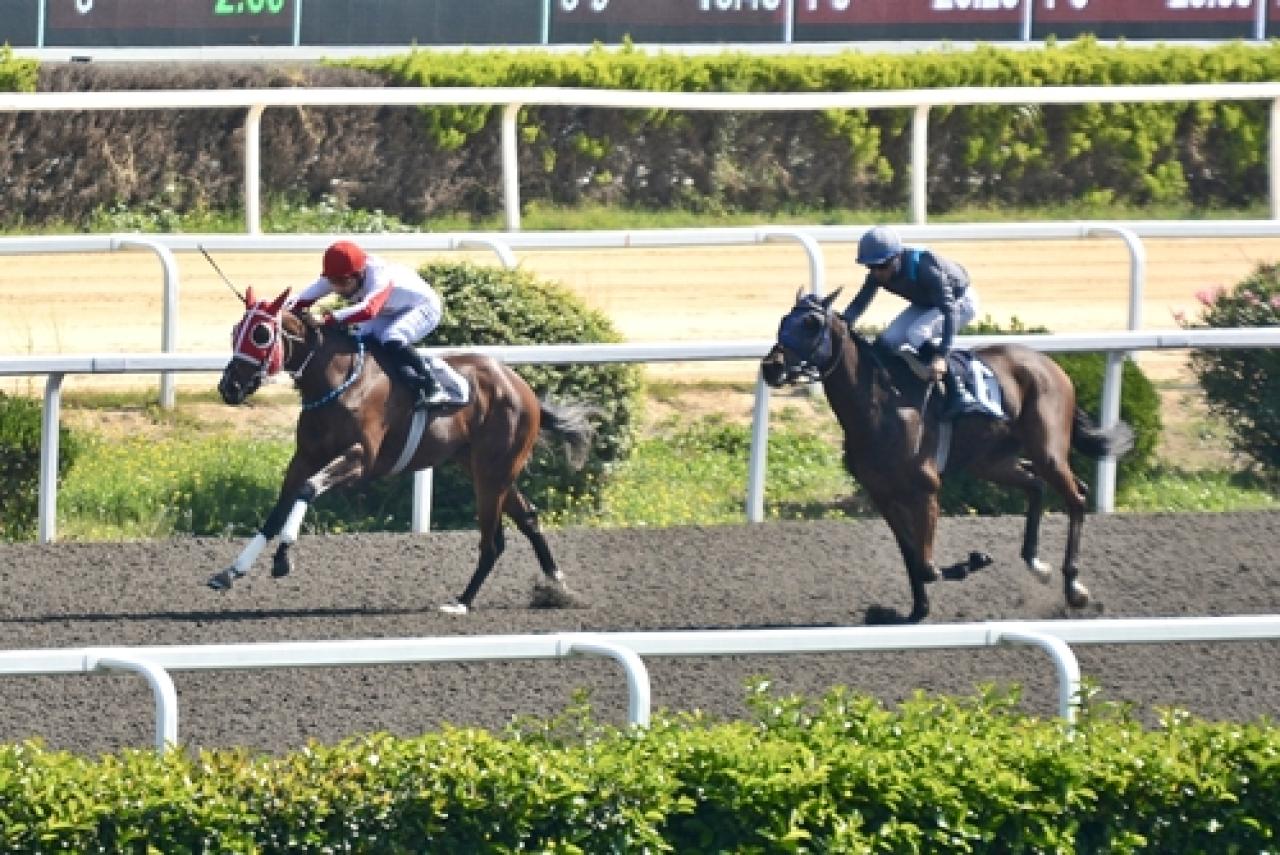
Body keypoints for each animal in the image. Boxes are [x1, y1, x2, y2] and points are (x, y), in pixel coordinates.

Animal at [209, 289, 593, 614]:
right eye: (234, 331)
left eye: (261, 334)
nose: (229, 387)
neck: (338, 381)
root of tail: (522, 387)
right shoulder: (305, 457)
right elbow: (278, 510)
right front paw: (230, 572)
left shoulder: (360, 459)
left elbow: (307, 489)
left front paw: (284, 556)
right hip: (484, 468)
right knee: (527, 518)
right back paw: (558, 587)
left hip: (493, 471)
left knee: (493, 541)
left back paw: (462, 602)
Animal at [757, 290, 1131, 624]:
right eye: (782, 321)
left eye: (810, 323)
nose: (771, 367)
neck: (879, 408)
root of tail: (1050, 364)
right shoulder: (883, 495)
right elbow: (911, 557)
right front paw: (914, 613)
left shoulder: (925, 490)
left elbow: (926, 565)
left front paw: (974, 561)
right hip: (989, 461)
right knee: (1035, 483)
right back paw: (1036, 563)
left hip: (1047, 449)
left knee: (1076, 496)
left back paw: (1074, 588)